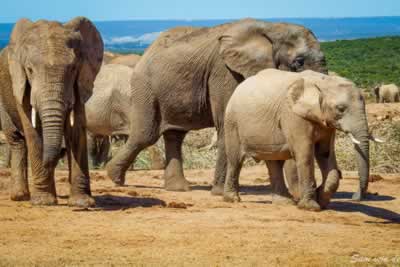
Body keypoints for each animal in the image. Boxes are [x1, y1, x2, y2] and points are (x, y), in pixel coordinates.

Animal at [0, 17, 104, 207]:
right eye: (30, 70)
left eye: (73, 69)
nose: (60, 151)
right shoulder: (21, 82)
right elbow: (33, 132)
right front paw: (43, 201)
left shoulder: (80, 81)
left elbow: (76, 129)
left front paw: (82, 203)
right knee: (17, 140)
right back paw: (20, 196)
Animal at [105, 17, 328, 193]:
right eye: (299, 62)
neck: (273, 27)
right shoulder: (224, 71)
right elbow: (226, 125)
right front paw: (220, 193)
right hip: (145, 87)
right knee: (146, 134)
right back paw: (114, 178)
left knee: (174, 136)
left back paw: (178, 189)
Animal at [225, 69, 376, 211]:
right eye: (341, 109)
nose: (355, 197)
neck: (324, 82)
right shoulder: (294, 115)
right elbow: (305, 155)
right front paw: (311, 207)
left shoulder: (325, 122)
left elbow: (325, 154)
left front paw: (321, 200)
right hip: (232, 122)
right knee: (235, 160)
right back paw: (232, 199)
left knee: (273, 161)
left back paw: (284, 202)